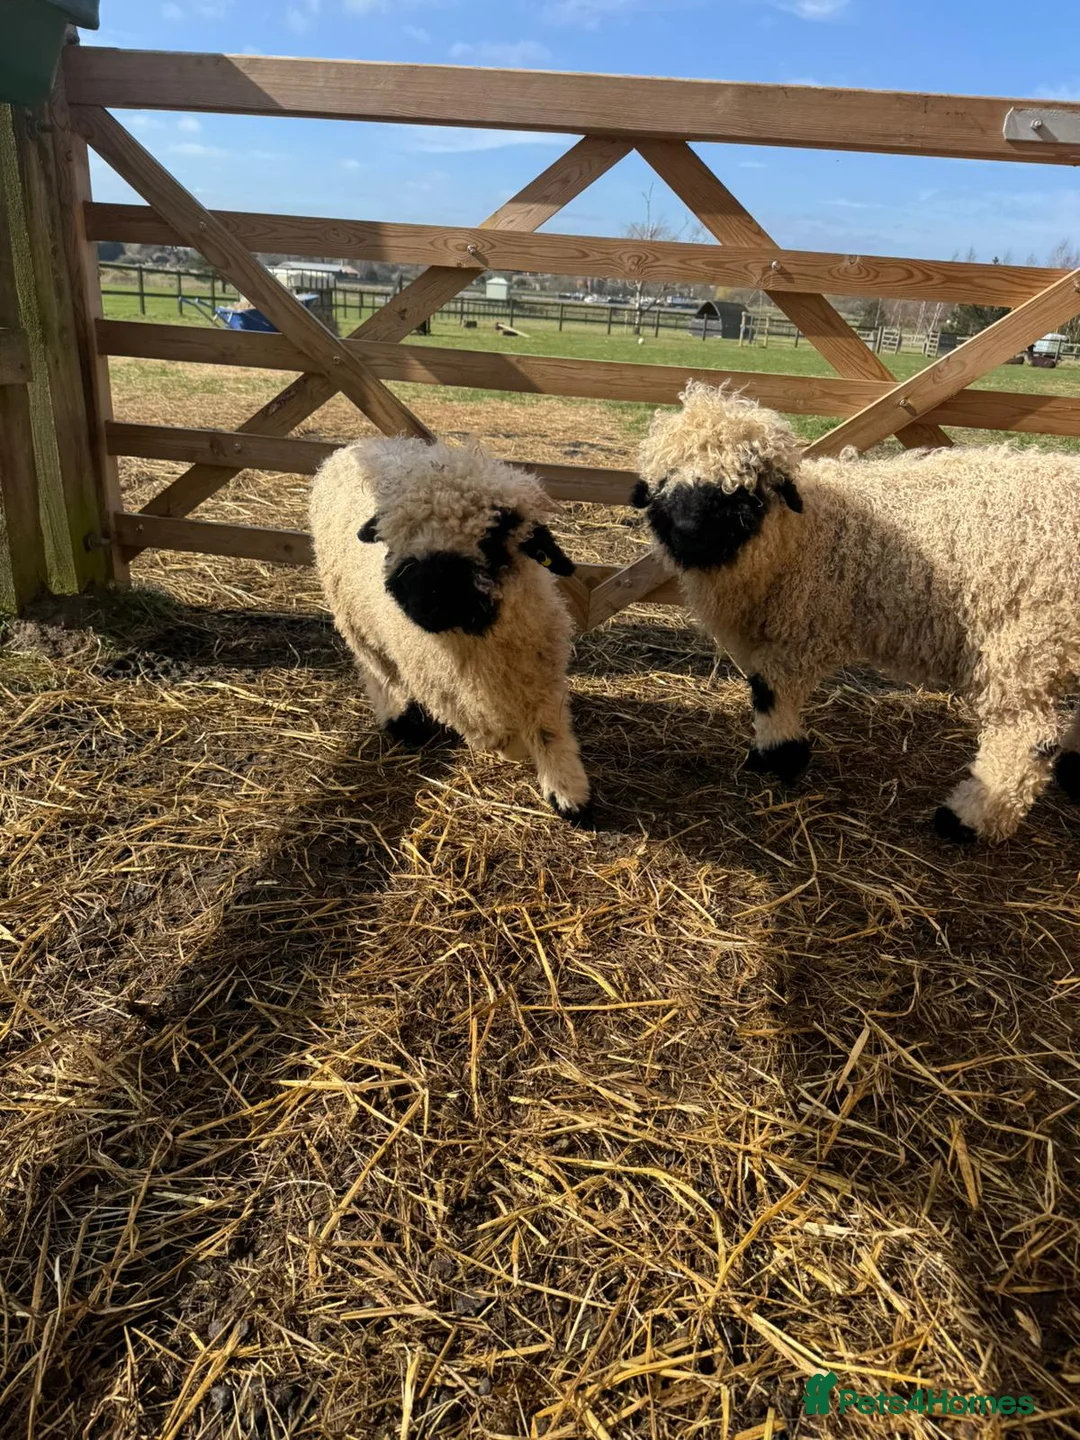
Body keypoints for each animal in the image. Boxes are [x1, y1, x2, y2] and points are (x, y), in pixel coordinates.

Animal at [309, 435, 593, 825]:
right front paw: (514, 749)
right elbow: (493, 732)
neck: (479, 639)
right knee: (378, 669)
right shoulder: (444, 688)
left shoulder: (541, 672)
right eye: (395, 537)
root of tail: (354, 445)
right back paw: (401, 720)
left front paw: (567, 792)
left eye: (492, 538)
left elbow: (549, 729)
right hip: (353, 618)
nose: (426, 600)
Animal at [632, 381, 1080, 843]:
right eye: (665, 480)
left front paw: (781, 756)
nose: (688, 532)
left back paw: (967, 819)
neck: (800, 535)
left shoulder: (804, 630)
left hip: (1026, 641)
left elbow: (770, 691)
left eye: (747, 487)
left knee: (1025, 734)